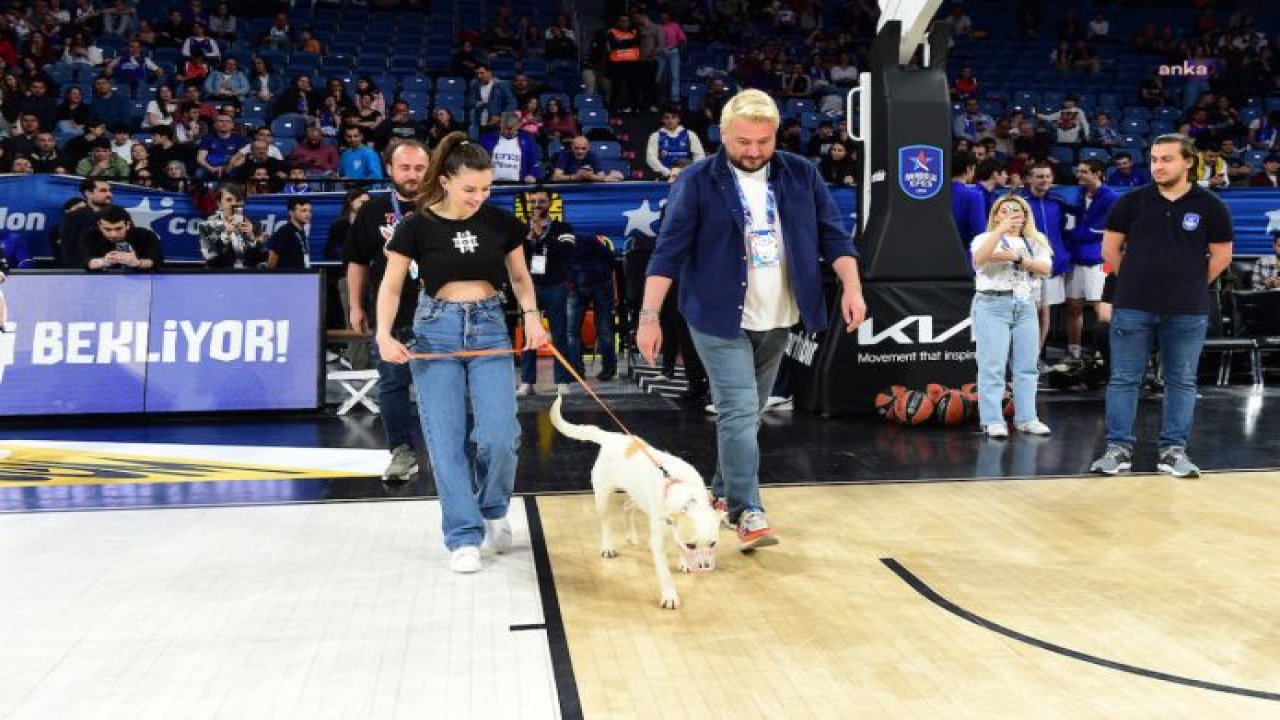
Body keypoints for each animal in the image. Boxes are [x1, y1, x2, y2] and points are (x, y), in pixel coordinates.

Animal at [547, 394, 721, 607]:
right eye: (692, 545)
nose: (704, 567)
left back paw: (631, 535)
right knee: (606, 522)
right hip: (603, 497)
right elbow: (664, 573)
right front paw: (669, 595)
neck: (685, 494)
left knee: (627, 506)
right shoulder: (659, 540)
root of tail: (610, 437)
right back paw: (608, 547)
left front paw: (683, 562)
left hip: (638, 497)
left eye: (712, 544)